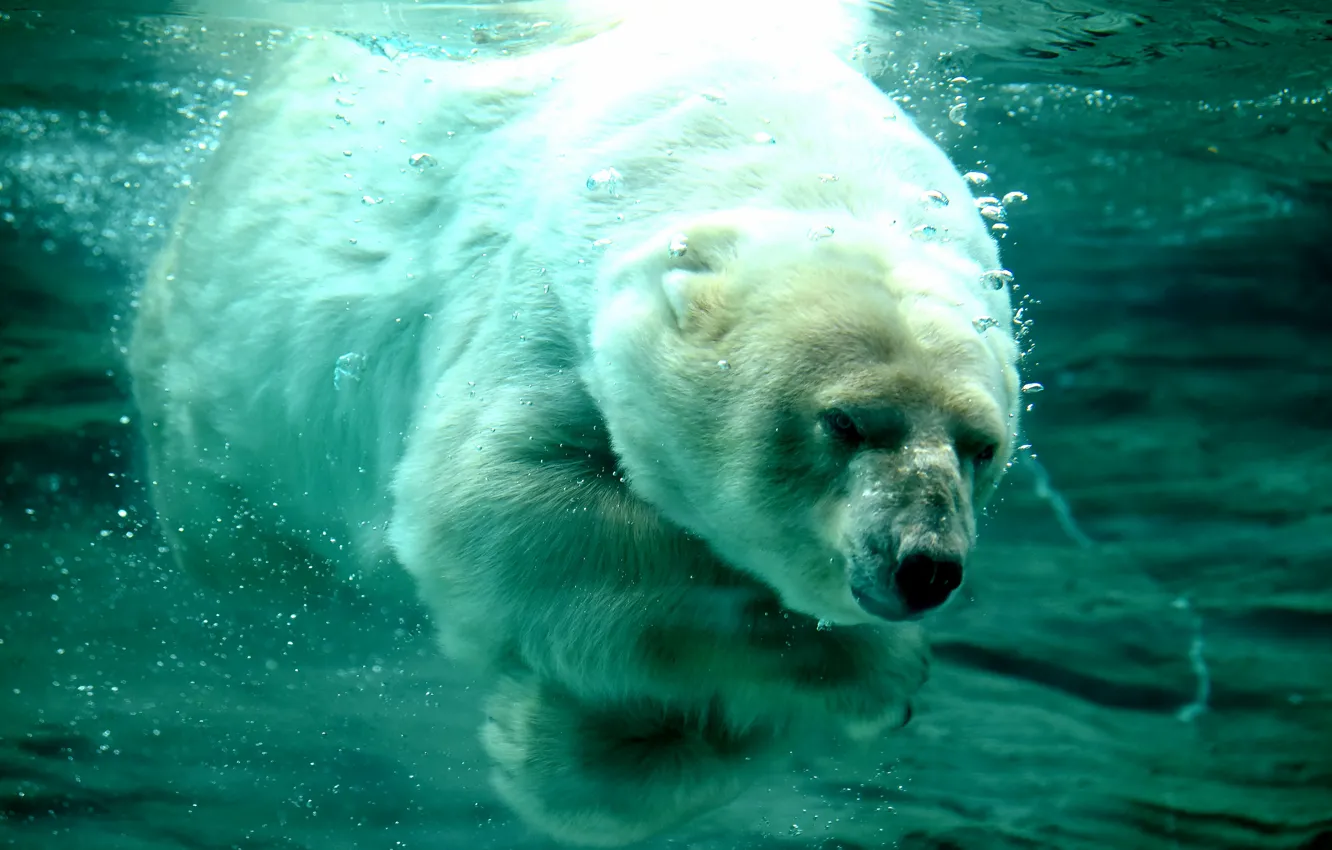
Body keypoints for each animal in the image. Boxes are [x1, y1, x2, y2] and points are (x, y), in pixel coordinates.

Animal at [127, 1, 1017, 847]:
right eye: (844, 422)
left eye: (982, 447)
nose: (924, 563)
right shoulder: (537, 291)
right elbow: (497, 504)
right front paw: (873, 671)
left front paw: (553, 743)